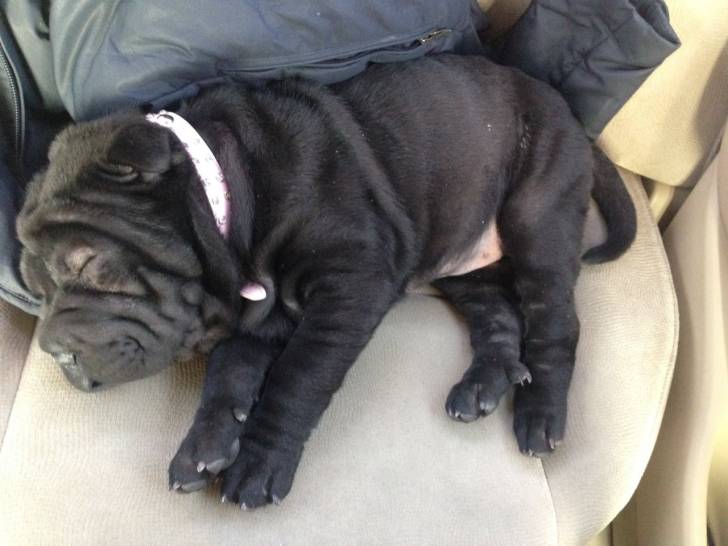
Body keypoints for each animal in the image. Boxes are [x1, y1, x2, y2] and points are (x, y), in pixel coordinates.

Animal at [17, 53, 636, 509]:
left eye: (87, 264)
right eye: (35, 289)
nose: (56, 353)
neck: (230, 186)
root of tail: (572, 120)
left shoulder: (351, 282)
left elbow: (299, 375)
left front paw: (259, 462)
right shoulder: (261, 311)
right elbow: (229, 372)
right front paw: (205, 444)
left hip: (537, 213)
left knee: (555, 323)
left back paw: (541, 416)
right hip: (452, 249)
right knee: (497, 312)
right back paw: (483, 384)